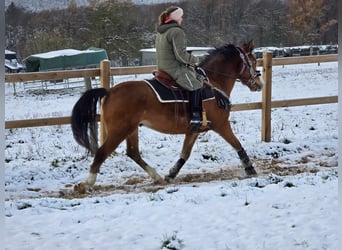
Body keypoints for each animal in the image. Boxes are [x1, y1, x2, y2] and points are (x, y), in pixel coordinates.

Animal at [72, 40, 264, 192]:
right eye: (253, 61)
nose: (259, 84)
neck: (214, 83)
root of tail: (110, 92)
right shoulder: (221, 124)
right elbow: (237, 144)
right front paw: (250, 169)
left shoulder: (193, 130)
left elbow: (185, 154)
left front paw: (171, 174)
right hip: (119, 131)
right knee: (101, 153)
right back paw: (87, 184)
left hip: (131, 129)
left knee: (133, 153)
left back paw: (156, 177)